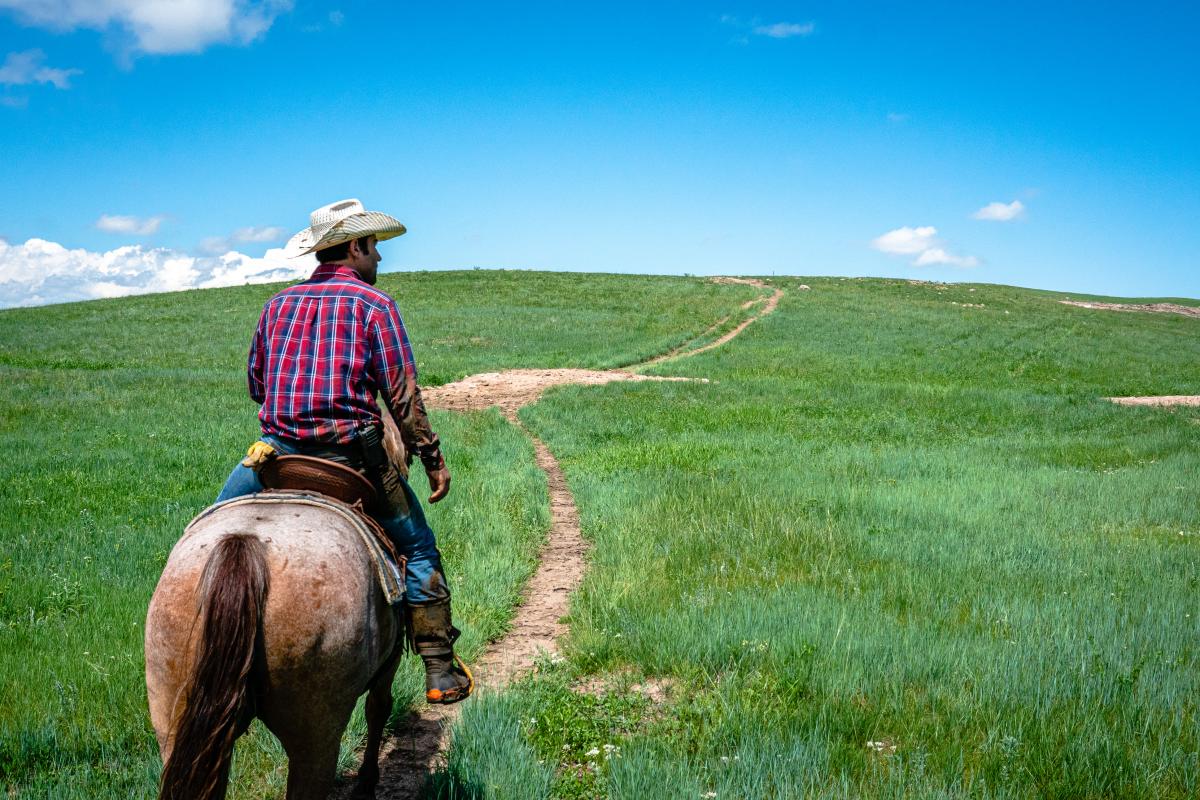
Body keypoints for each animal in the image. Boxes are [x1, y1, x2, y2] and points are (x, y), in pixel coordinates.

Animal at [141, 424, 408, 800]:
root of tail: (245, 547)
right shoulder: (390, 662)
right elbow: (378, 709)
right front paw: (366, 785)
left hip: (176, 725)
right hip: (316, 738)